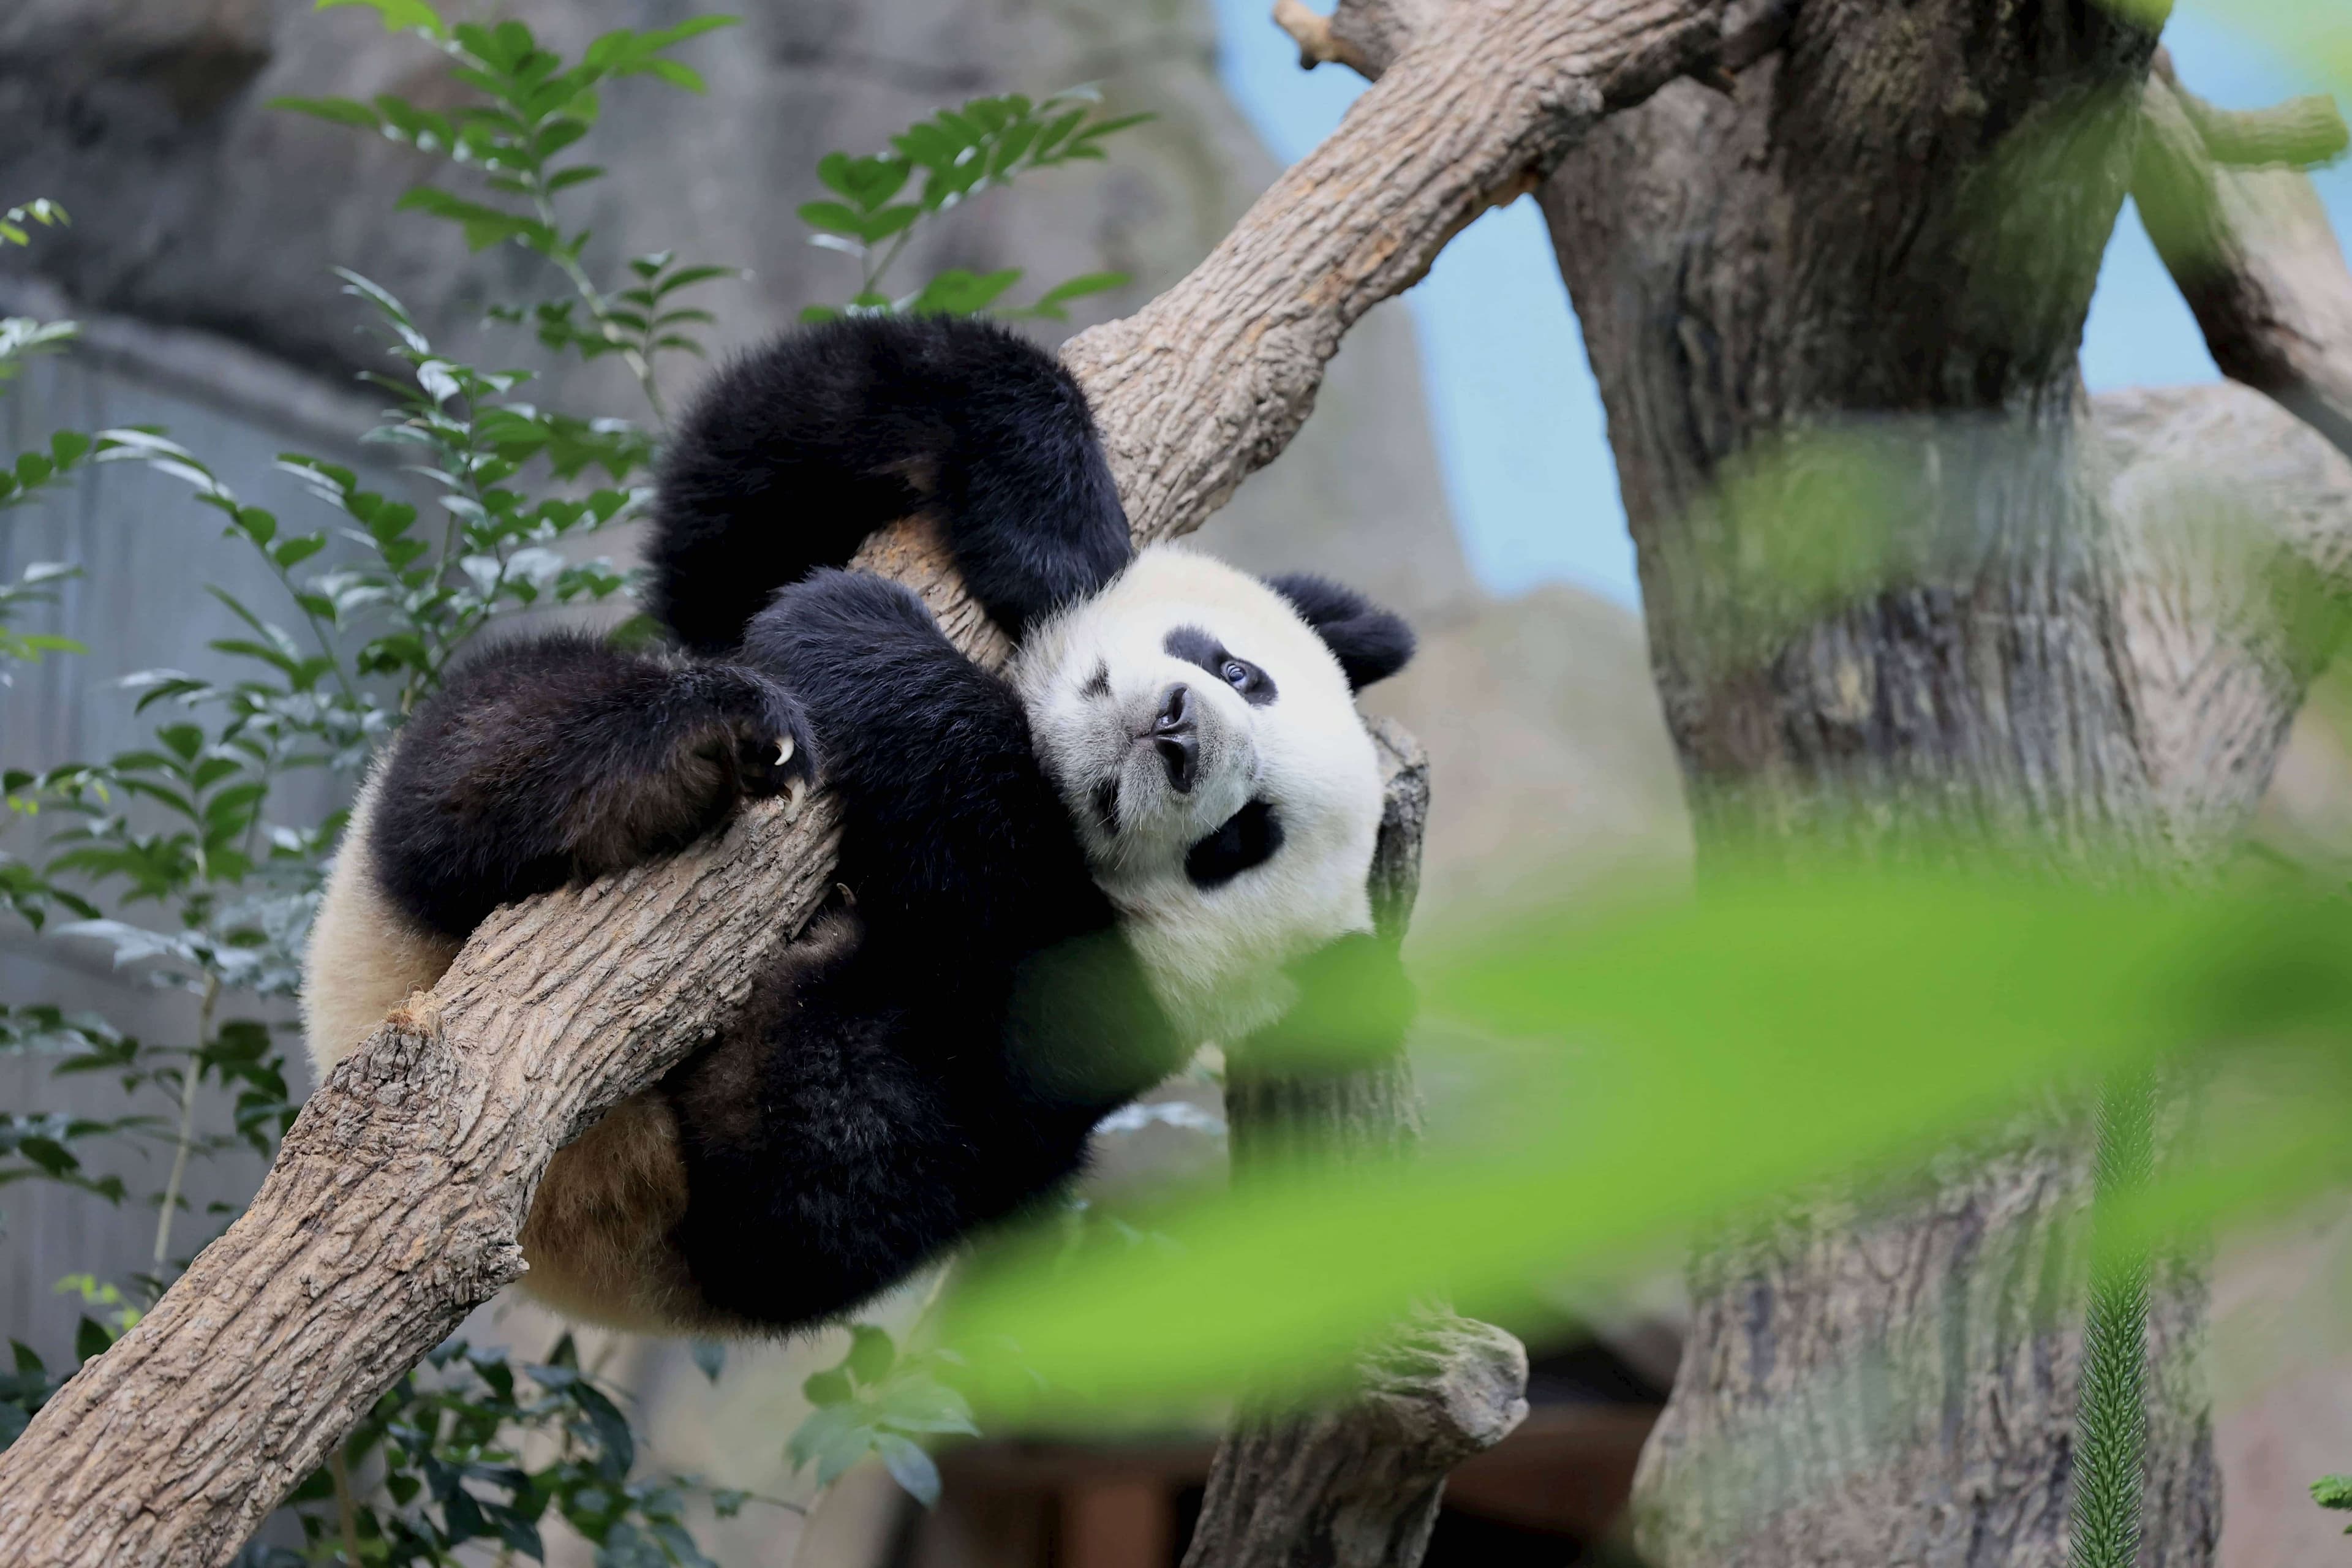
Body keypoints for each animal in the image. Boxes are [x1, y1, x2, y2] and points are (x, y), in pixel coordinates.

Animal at [301, 313, 1417, 1337]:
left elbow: (896, 1112)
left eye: (1240, 843)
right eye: (1241, 671)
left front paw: (869, 646)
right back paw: (671, 754)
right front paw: (1054, 532)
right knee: (492, 737)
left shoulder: (1096, 1022)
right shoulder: (750, 561)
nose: (1180, 731)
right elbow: (741, 491)